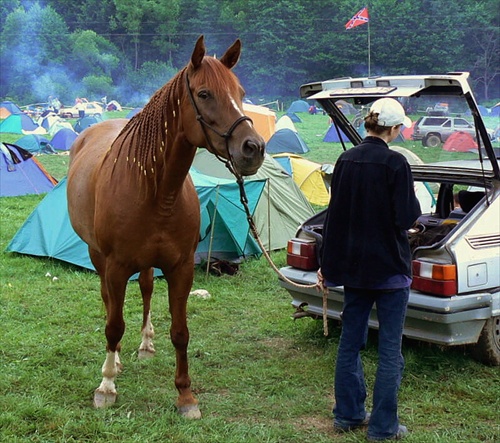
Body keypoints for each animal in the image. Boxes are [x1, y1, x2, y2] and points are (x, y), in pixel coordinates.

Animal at [68, 35, 268, 420]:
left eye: (241, 91)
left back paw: (145, 345)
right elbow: (114, 324)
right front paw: (106, 386)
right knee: (109, 303)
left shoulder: (180, 268)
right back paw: (114, 363)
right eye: (204, 93)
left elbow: (180, 331)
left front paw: (185, 395)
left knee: (146, 288)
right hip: (98, 256)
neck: (156, 191)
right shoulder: (116, 267)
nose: (253, 147)